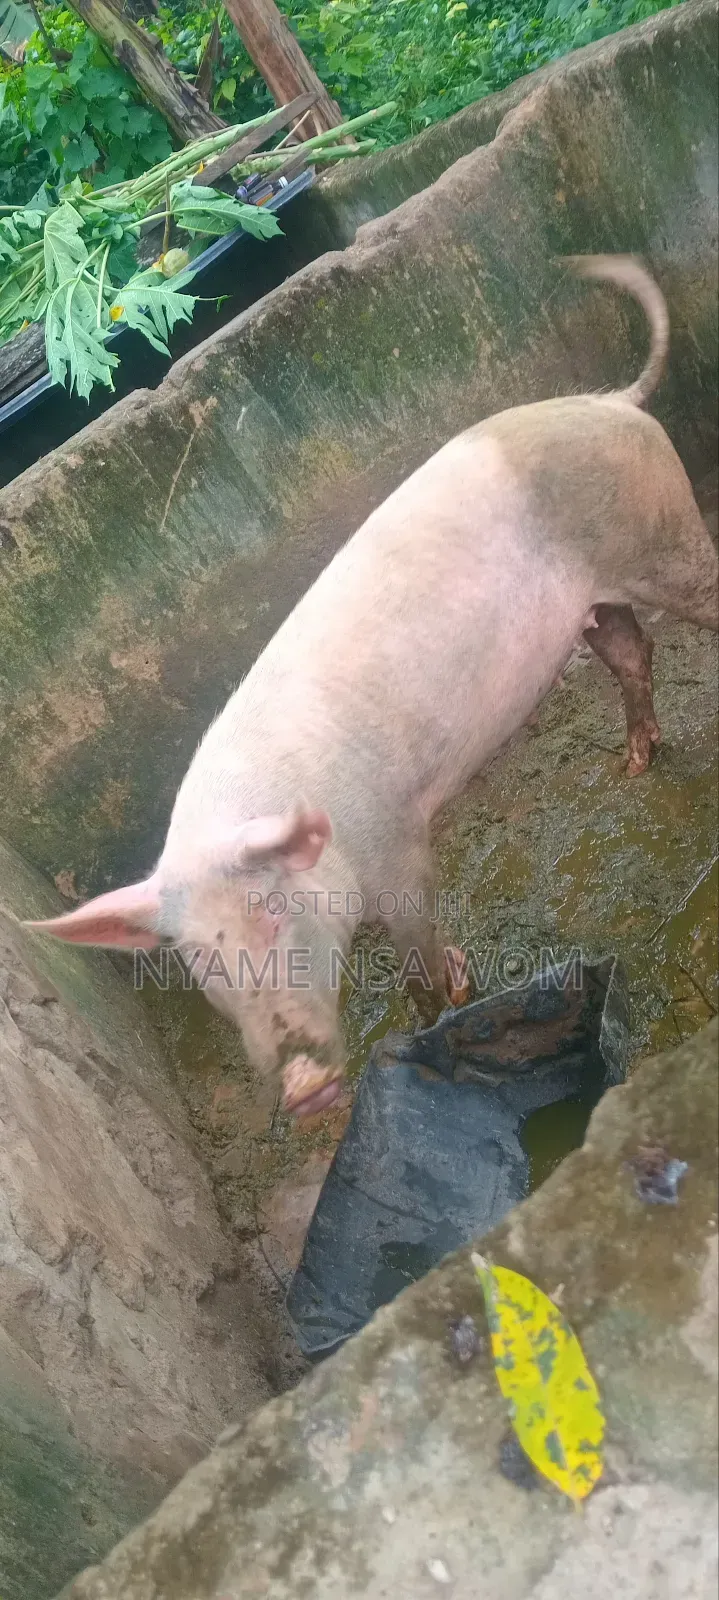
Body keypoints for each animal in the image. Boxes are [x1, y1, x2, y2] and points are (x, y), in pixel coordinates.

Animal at [27, 256, 718, 1119]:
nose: (300, 1089)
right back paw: (632, 765)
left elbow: (416, 943)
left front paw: (439, 1009)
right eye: (197, 961)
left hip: (665, 541)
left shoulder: (394, 838)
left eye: (271, 910)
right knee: (630, 651)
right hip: (595, 600)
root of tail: (614, 401)